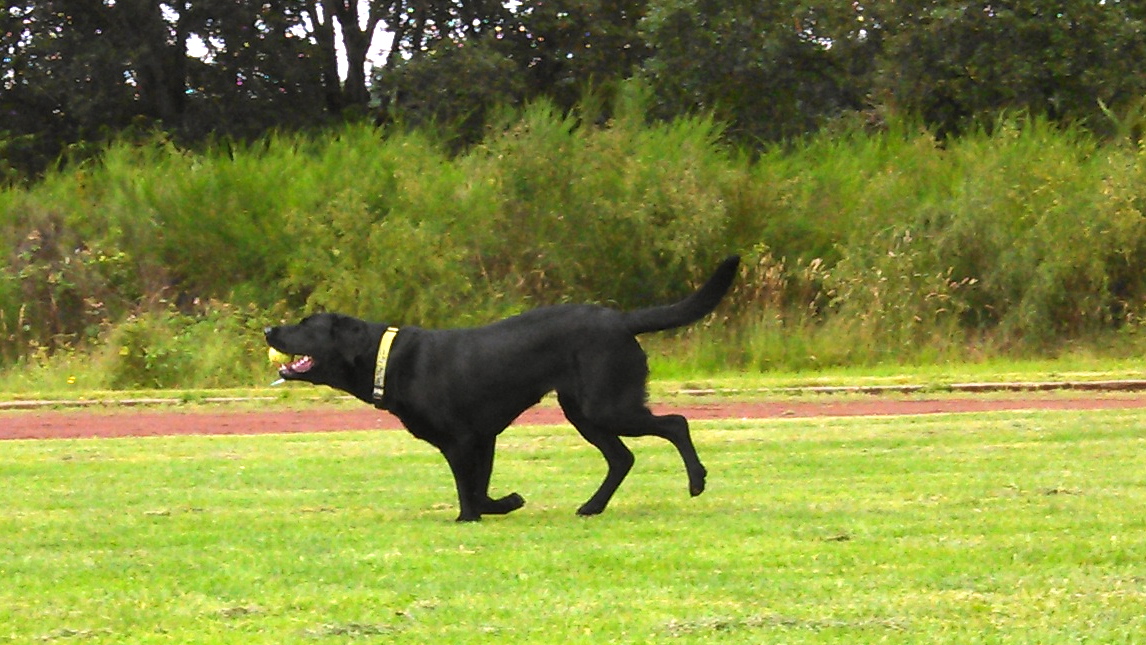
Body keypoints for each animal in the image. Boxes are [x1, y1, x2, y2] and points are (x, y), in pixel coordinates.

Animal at [264, 256, 740, 521]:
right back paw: (591, 507)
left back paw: (696, 481)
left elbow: (468, 489)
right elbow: (479, 487)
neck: (387, 358)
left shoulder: (461, 439)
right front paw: (506, 503)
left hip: (606, 404)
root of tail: (622, 320)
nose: (269, 329)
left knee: (675, 423)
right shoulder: (483, 437)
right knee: (623, 457)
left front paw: (471, 518)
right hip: (581, 410)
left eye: (305, 324)